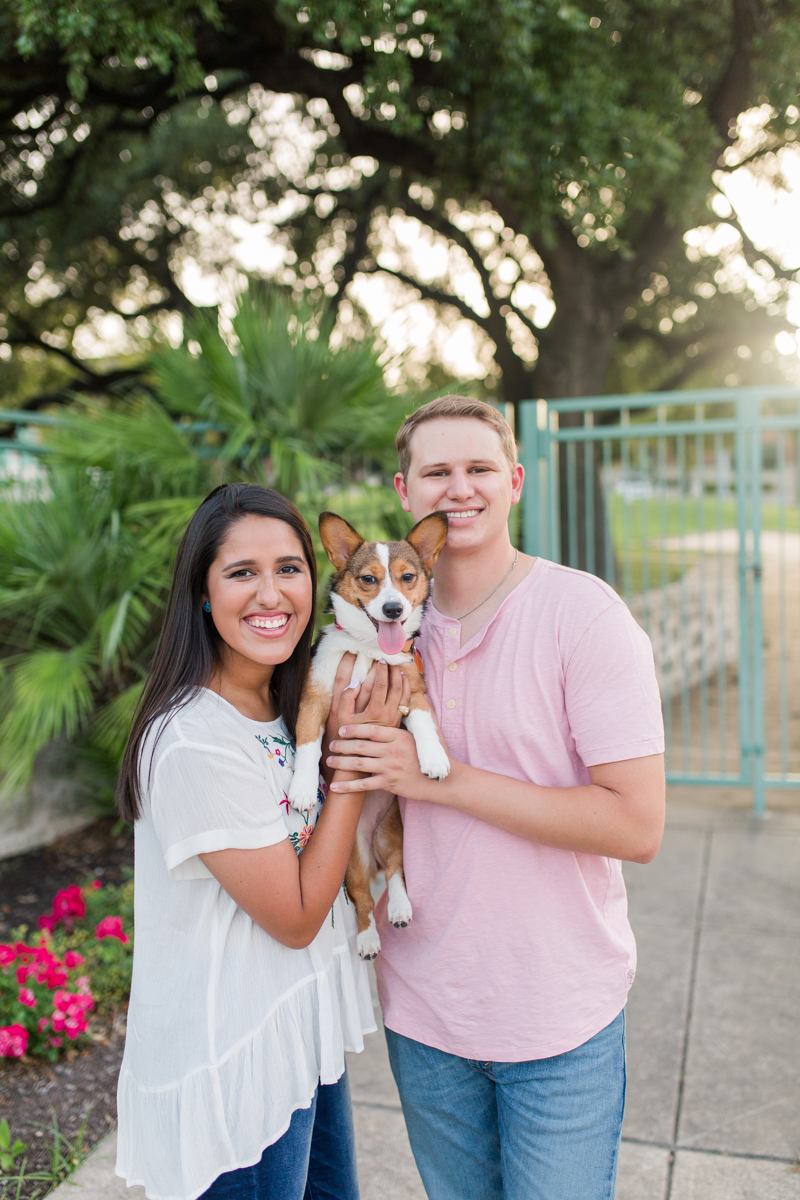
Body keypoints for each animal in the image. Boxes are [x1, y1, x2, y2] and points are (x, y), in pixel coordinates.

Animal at [287, 511, 450, 960]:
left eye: (408, 577)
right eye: (368, 579)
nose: (393, 609)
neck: (370, 650)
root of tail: (372, 851)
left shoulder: (413, 690)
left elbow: (424, 724)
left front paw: (434, 758)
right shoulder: (315, 698)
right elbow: (307, 744)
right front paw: (303, 787)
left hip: (394, 833)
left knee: (396, 872)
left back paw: (399, 907)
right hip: (352, 861)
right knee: (362, 898)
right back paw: (367, 938)